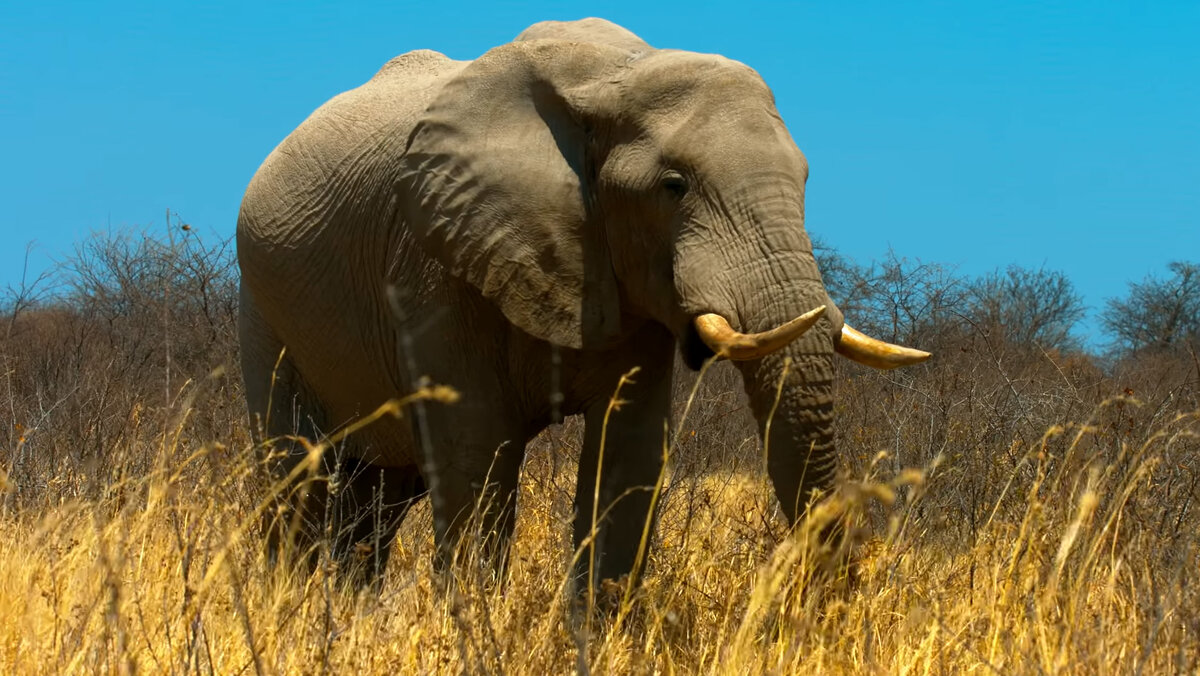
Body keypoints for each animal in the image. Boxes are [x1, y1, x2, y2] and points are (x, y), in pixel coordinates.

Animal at [234, 15, 926, 593]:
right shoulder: (437, 263)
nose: (826, 603)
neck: (616, 77)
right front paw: (477, 627)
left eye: (806, 179)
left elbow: (628, 451)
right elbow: (476, 452)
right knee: (298, 476)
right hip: (263, 308)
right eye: (674, 186)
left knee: (378, 496)